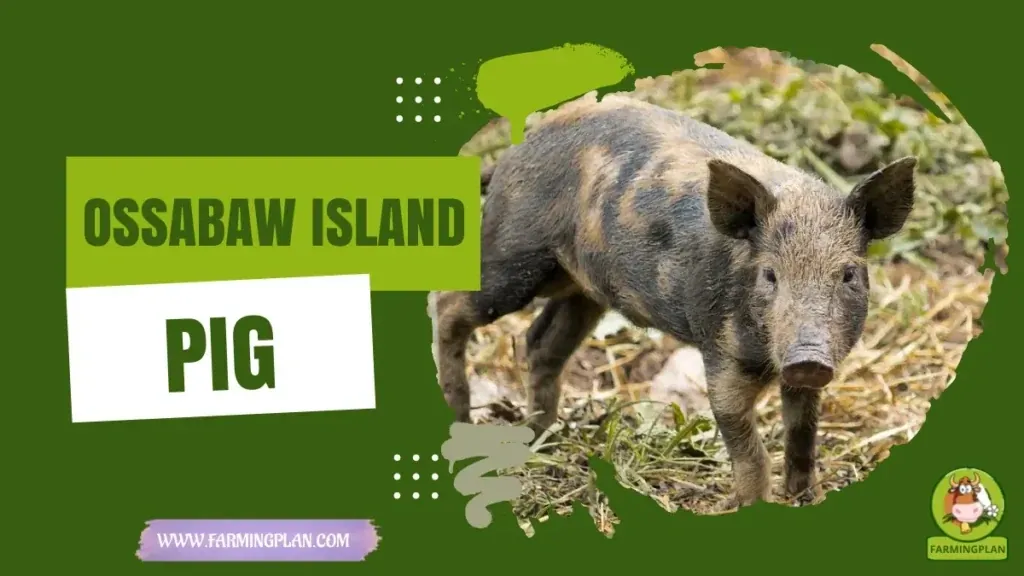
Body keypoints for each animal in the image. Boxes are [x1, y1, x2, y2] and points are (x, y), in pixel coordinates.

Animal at [432, 91, 917, 511]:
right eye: (770, 274)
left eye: (848, 273)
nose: (808, 357)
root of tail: (510, 155)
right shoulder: (720, 352)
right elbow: (748, 446)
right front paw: (749, 504)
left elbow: (802, 438)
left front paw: (805, 499)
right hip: (515, 257)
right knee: (448, 306)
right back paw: (461, 417)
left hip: (579, 288)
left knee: (540, 342)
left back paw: (538, 436)